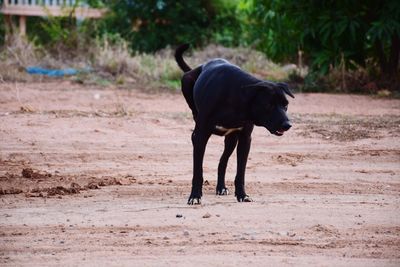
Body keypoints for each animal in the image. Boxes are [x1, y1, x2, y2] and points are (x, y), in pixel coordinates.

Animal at [175, 44, 294, 205]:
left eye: (286, 105)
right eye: (268, 105)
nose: (288, 125)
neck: (237, 98)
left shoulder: (245, 139)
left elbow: (240, 172)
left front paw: (242, 195)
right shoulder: (200, 136)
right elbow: (198, 171)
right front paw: (195, 196)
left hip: (231, 140)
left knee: (222, 161)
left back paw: (221, 187)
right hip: (186, 80)